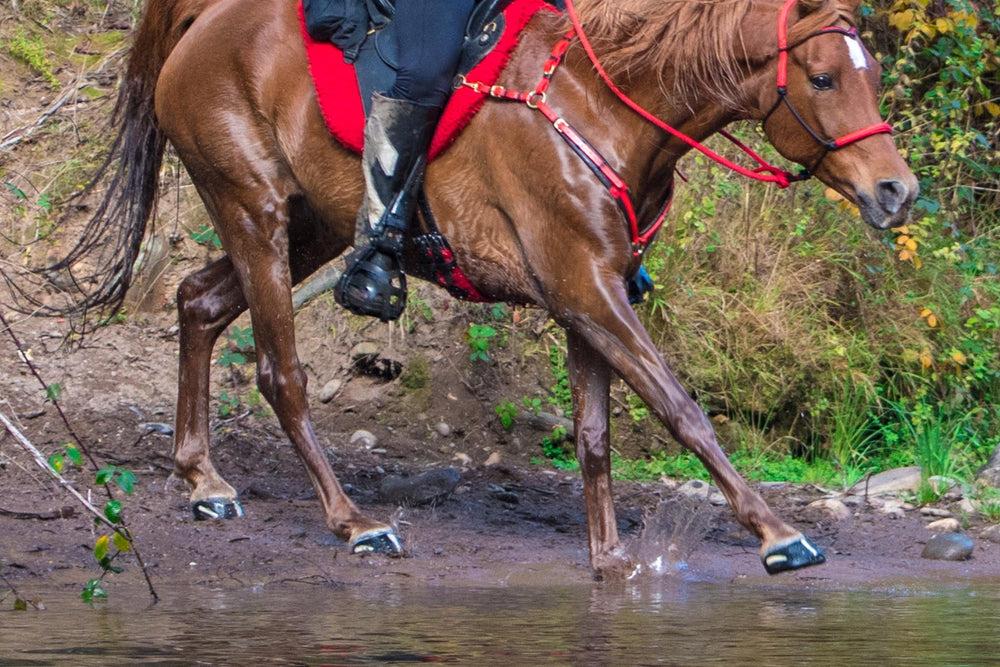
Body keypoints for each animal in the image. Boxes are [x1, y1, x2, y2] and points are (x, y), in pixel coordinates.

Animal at [70, 0, 916, 576]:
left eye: (868, 75)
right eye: (822, 77)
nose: (898, 192)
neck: (603, 108)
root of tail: (208, 20)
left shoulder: (591, 293)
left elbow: (594, 433)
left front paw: (608, 557)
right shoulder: (584, 288)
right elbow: (682, 410)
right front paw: (778, 534)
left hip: (307, 225)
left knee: (198, 302)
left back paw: (203, 478)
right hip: (255, 212)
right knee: (282, 375)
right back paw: (354, 521)